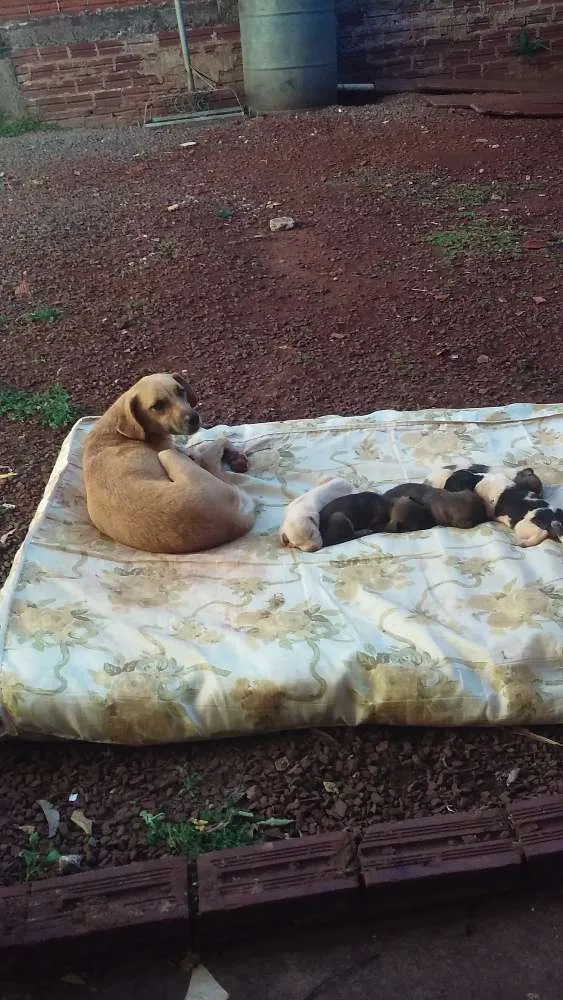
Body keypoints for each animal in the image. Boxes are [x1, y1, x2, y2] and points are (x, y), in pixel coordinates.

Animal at [82, 372, 254, 556]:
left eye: (181, 390)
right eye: (157, 406)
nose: (194, 418)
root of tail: (238, 519)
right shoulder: (177, 449)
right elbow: (209, 445)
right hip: (167, 455)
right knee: (216, 448)